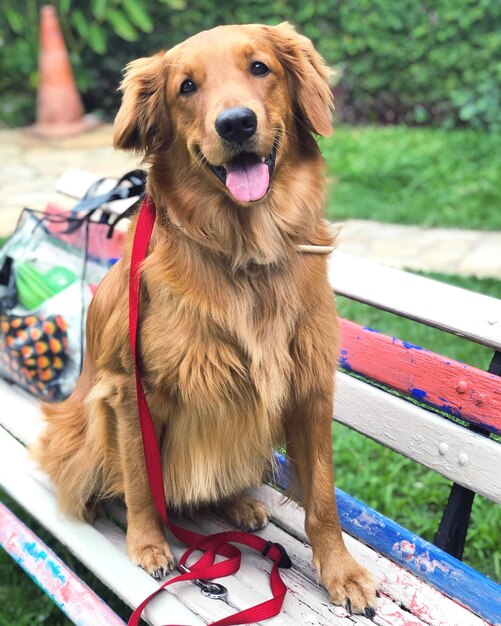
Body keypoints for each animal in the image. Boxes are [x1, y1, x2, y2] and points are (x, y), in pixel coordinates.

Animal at [31, 22, 376, 612]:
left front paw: (341, 571)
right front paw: (148, 543)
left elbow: (323, 500)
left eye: (260, 68)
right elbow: (141, 479)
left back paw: (236, 502)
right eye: (186, 87)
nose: (236, 123)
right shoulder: (131, 389)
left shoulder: (310, 385)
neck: (245, 248)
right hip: (88, 422)